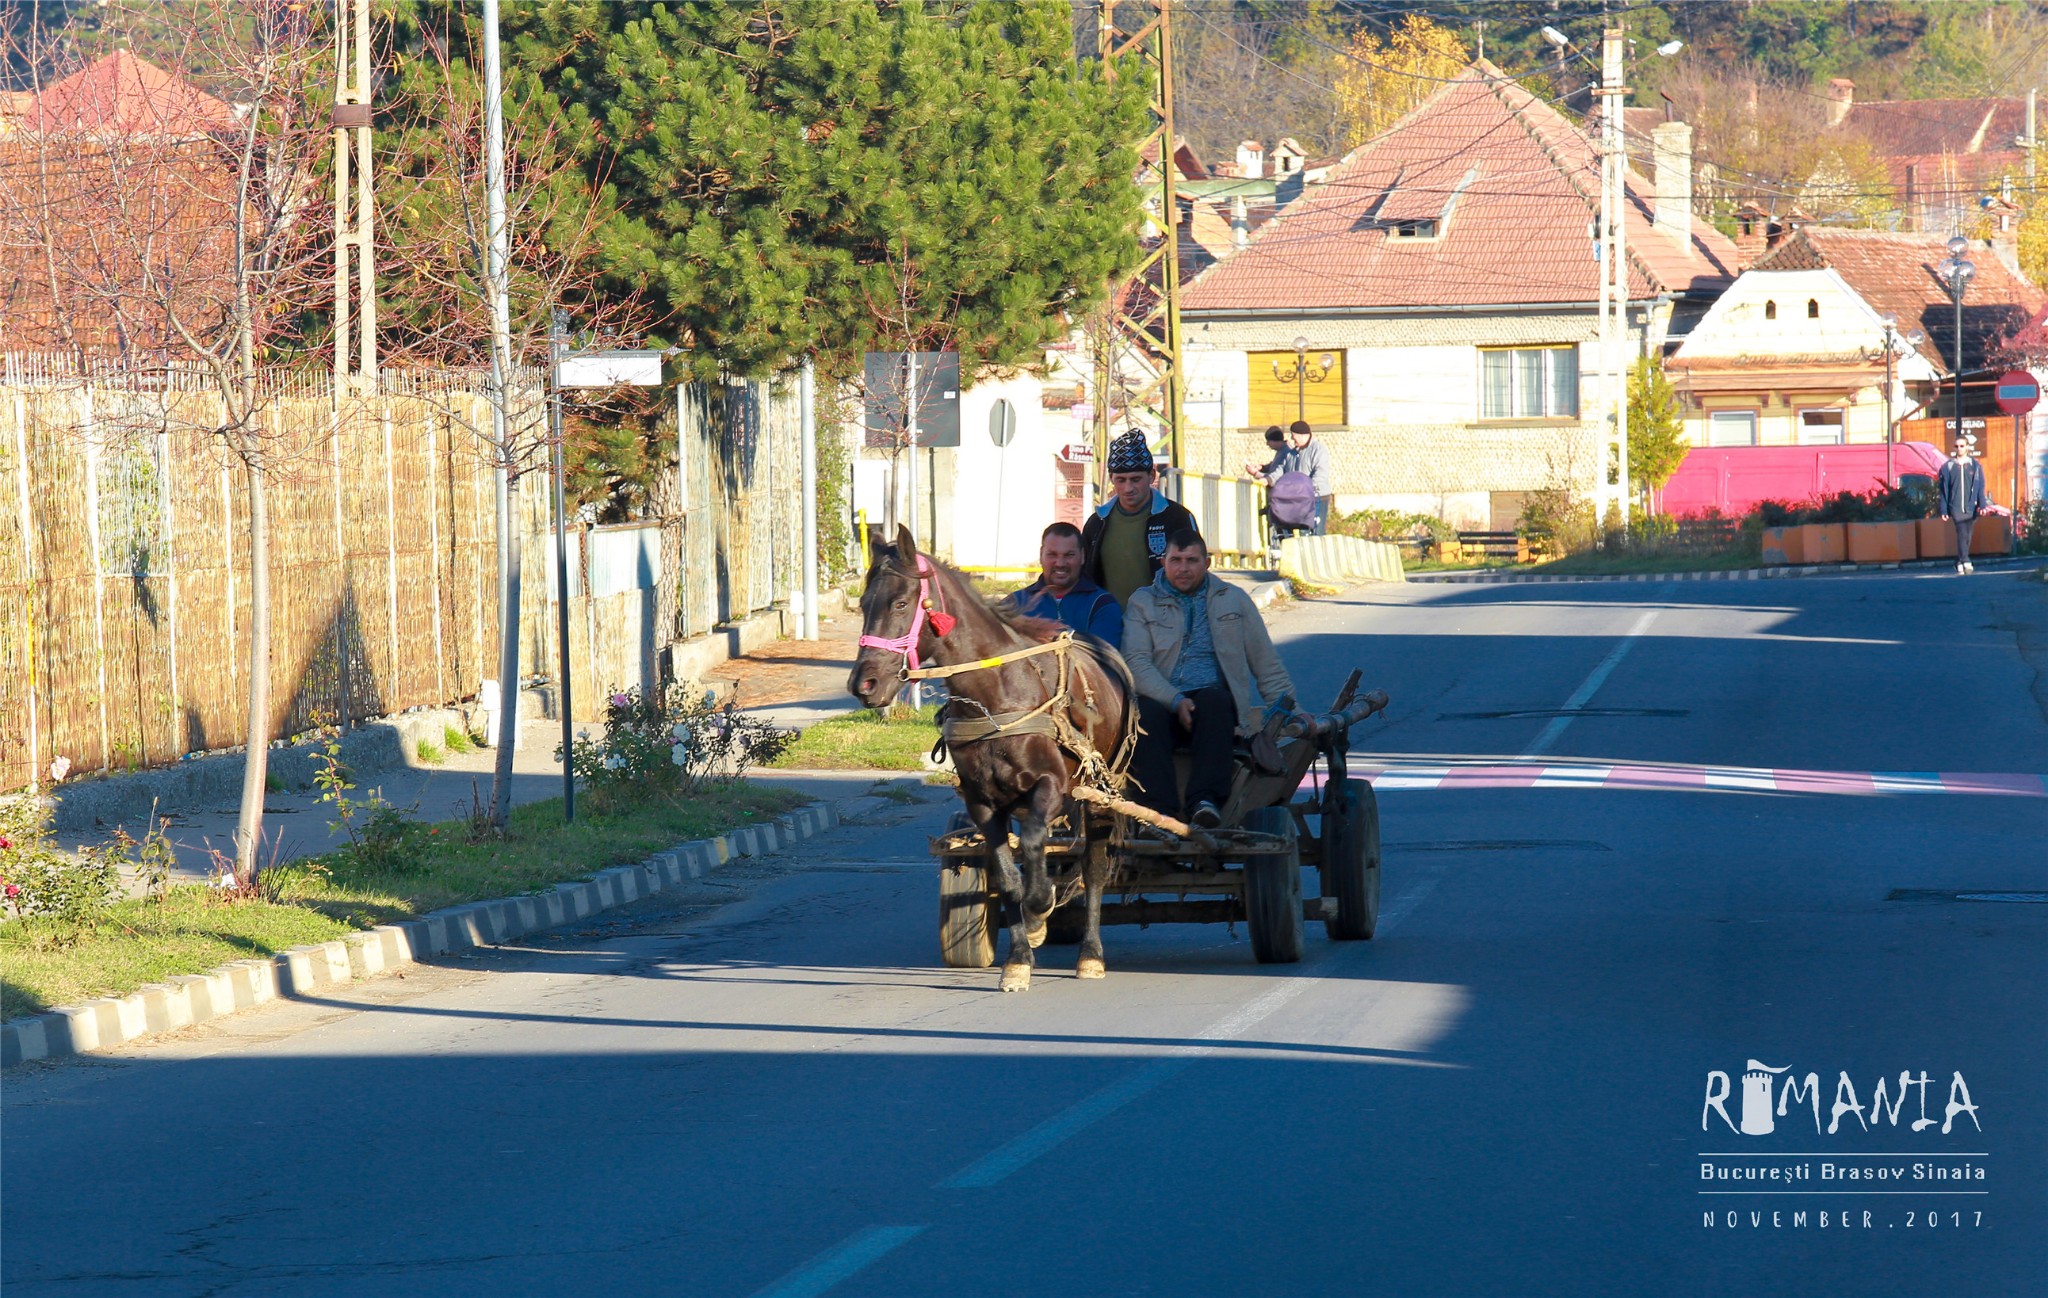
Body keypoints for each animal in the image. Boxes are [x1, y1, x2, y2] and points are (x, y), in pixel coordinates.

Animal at [843, 520, 1138, 986]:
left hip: (1100, 794)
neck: (997, 694)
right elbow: (1006, 873)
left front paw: (1040, 907)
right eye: (863, 603)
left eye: (901, 603)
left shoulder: (1053, 787)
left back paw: (1090, 952)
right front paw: (1019, 956)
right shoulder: (982, 803)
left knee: (1093, 867)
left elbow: (1035, 844)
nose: (863, 684)